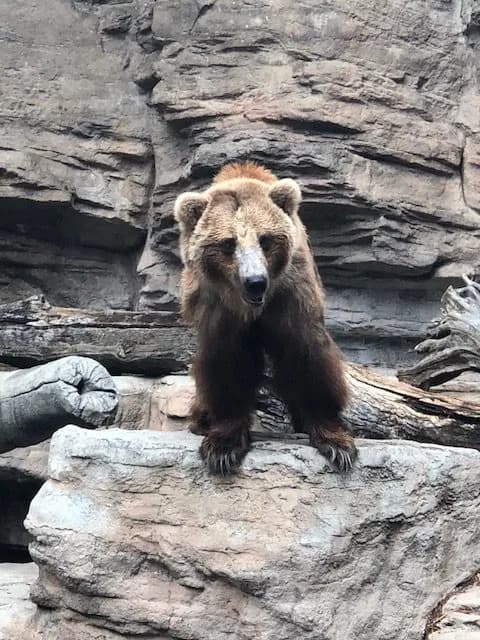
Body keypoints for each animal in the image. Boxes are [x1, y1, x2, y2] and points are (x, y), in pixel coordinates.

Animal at [174, 161, 357, 475]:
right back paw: (201, 419)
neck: (253, 309)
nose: (255, 282)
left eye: (265, 239)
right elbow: (227, 363)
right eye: (228, 243)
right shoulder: (220, 310)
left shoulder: (292, 294)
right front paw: (223, 446)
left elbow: (307, 355)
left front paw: (335, 441)